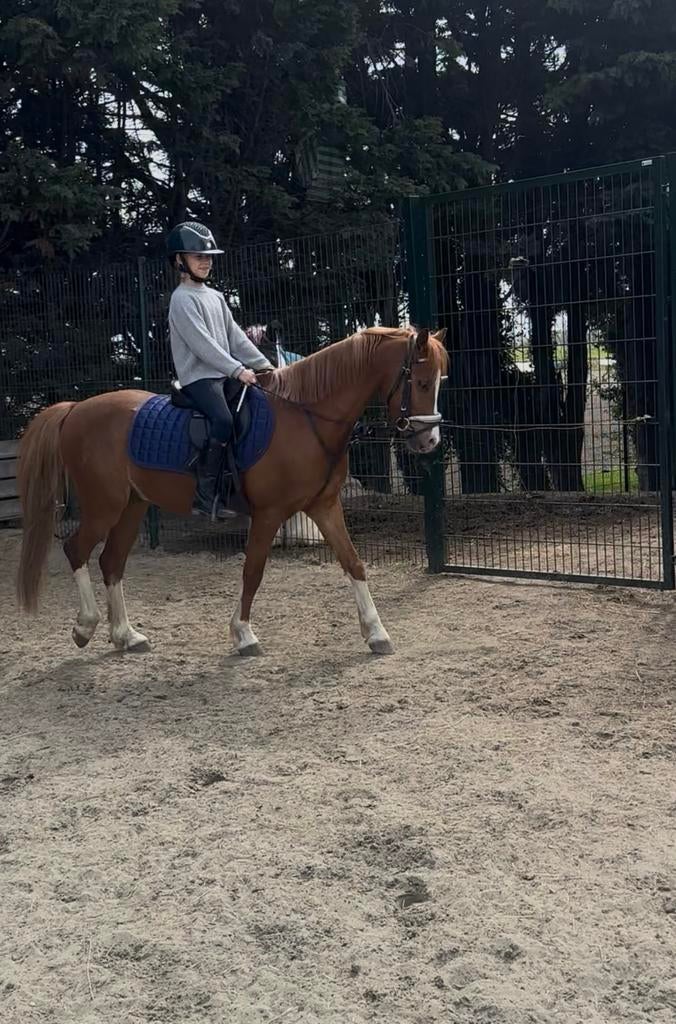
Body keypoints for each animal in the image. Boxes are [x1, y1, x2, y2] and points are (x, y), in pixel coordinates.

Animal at [16, 326, 447, 656]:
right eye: (422, 382)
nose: (430, 442)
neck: (306, 417)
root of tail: (75, 408)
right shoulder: (269, 513)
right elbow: (253, 570)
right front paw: (243, 634)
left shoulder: (324, 507)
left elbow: (353, 562)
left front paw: (376, 633)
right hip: (104, 506)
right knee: (76, 550)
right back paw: (85, 627)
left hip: (132, 507)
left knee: (111, 562)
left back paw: (126, 636)